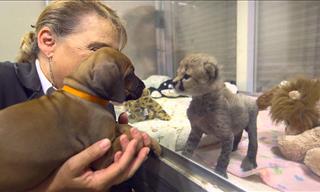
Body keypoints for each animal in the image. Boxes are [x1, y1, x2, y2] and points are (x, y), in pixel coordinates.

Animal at [0, 46, 161, 190]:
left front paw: (153, 143)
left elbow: (125, 126)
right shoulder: (101, 158)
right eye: (130, 73)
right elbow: (126, 135)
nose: (144, 85)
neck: (86, 94)